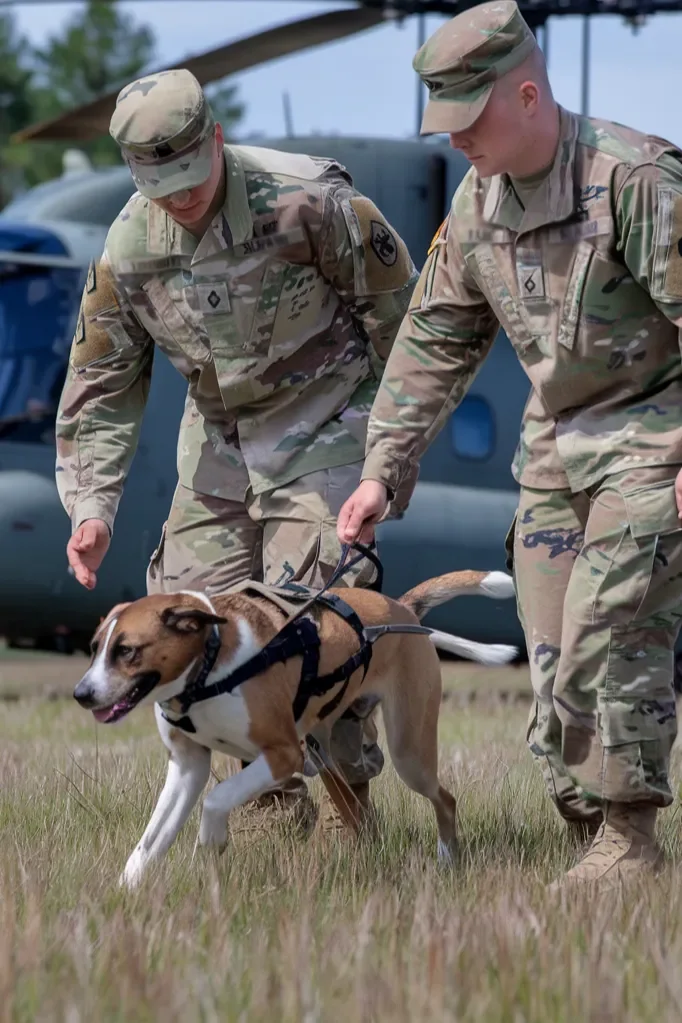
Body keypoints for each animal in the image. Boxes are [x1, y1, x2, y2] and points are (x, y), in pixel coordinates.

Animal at [72, 568, 515, 887]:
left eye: (127, 651)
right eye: (95, 649)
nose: (81, 693)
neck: (209, 667)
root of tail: (401, 610)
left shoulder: (285, 755)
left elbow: (217, 798)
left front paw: (211, 840)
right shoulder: (188, 765)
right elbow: (151, 838)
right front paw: (128, 888)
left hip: (408, 752)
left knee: (445, 799)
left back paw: (446, 859)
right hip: (329, 747)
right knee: (356, 809)